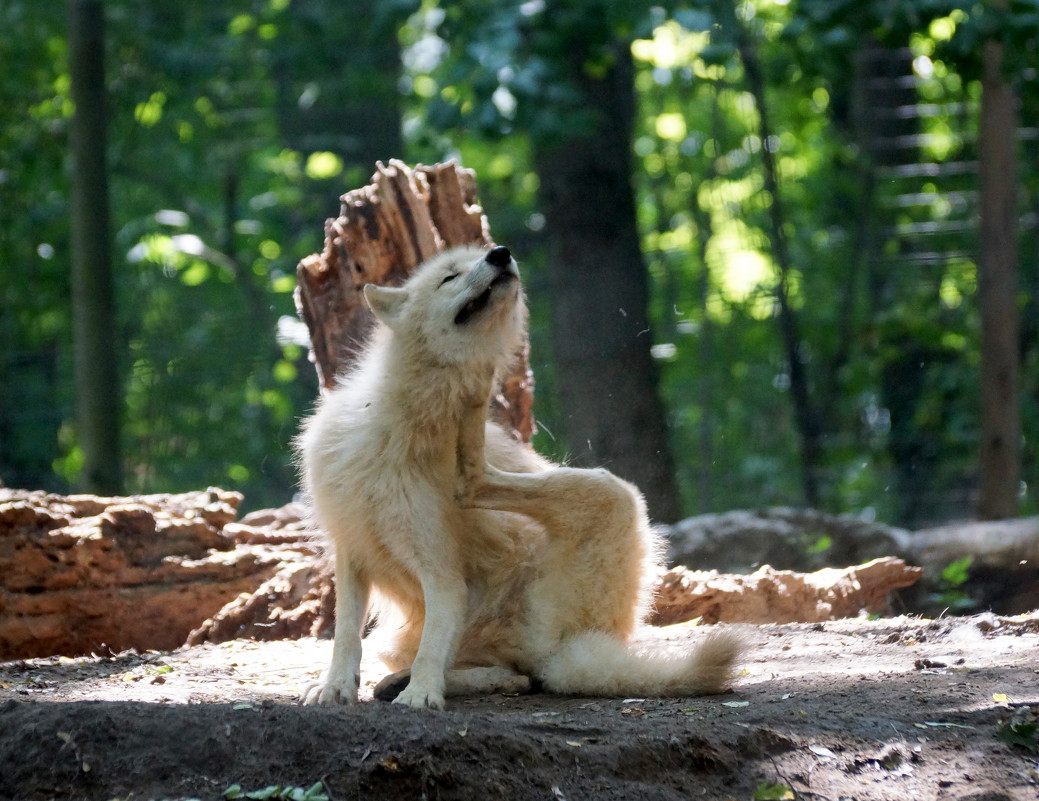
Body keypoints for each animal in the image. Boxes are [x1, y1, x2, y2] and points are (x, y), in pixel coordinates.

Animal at [297, 243, 743, 706]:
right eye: (449, 277)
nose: (500, 252)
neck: (396, 426)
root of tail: (563, 654)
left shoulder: (440, 570)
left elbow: (431, 649)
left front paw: (419, 695)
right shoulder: (352, 549)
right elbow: (345, 636)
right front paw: (335, 688)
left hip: (610, 492)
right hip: (398, 639)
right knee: (511, 675)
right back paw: (408, 683)